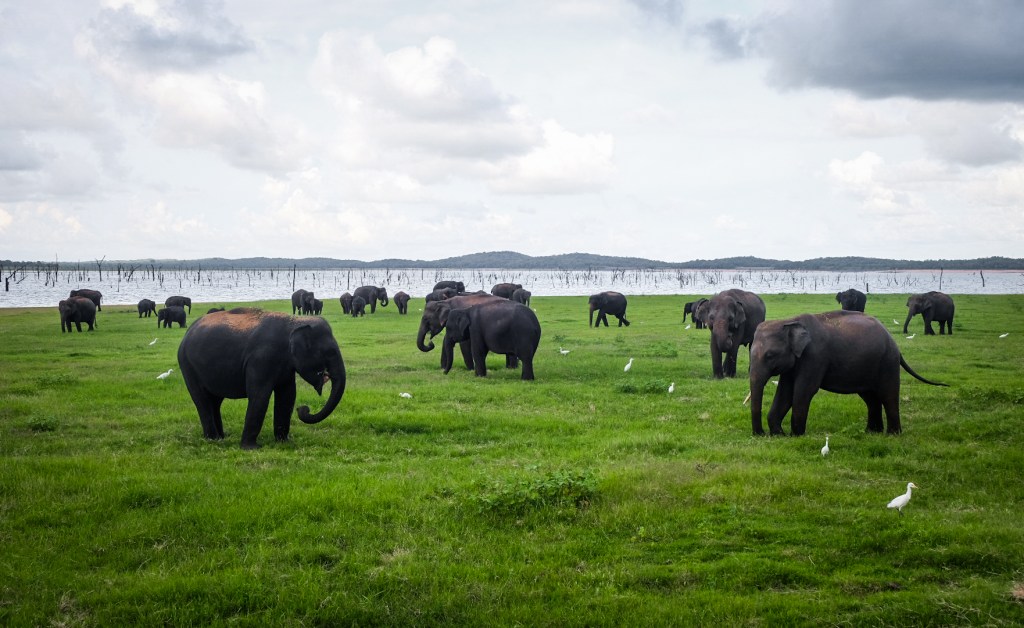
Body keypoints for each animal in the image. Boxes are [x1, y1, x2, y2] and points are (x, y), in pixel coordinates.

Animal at [177, 308, 346, 449]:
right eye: (330, 352)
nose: (303, 408)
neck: (294, 321)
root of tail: (187, 333)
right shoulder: (261, 358)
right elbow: (260, 395)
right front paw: (251, 448)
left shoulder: (285, 365)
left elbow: (288, 396)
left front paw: (284, 442)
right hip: (188, 366)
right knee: (202, 400)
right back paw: (213, 439)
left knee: (215, 401)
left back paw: (221, 437)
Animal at [749, 311, 948, 436]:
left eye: (770, 355)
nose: (760, 434)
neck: (789, 320)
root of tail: (894, 344)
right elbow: (784, 391)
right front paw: (779, 434)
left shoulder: (815, 356)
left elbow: (804, 390)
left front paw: (795, 435)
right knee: (870, 398)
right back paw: (871, 432)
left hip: (887, 362)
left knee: (888, 395)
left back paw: (892, 434)